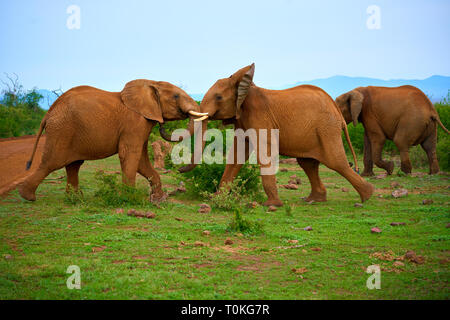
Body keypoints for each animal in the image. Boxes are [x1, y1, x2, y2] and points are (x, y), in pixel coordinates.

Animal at [17, 79, 207, 201]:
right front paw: (129, 198)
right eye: (176, 97)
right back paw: (27, 196)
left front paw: (159, 200)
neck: (151, 82)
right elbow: (130, 155)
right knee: (51, 163)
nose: (180, 169)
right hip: (62, 130)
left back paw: (75, 199)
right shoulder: (134, 122)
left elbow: (141, 160)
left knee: (73, 166)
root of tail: (49, 112)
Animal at [180, 63, 376, 206]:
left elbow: (264, 151)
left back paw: (367, 196)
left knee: (336, 162)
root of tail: (337, 112)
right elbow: (236, 155)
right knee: (308, 164)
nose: (180, 169)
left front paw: (271, 205)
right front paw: (216, 199)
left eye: (219, 98)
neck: (245, 88)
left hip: (326, 129)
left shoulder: (258, 115)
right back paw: (313, 200)